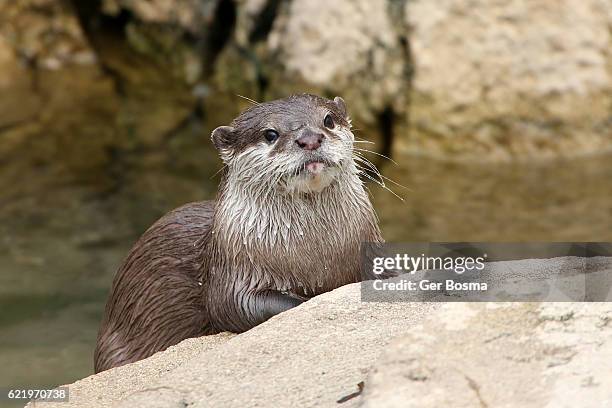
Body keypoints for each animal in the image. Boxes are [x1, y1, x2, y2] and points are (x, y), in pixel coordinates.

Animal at [94, 95, 384, 372]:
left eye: (328, 120)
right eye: (270, 134)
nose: (310, 139)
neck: (316, 259)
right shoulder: (230, 274)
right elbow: (237, 306)